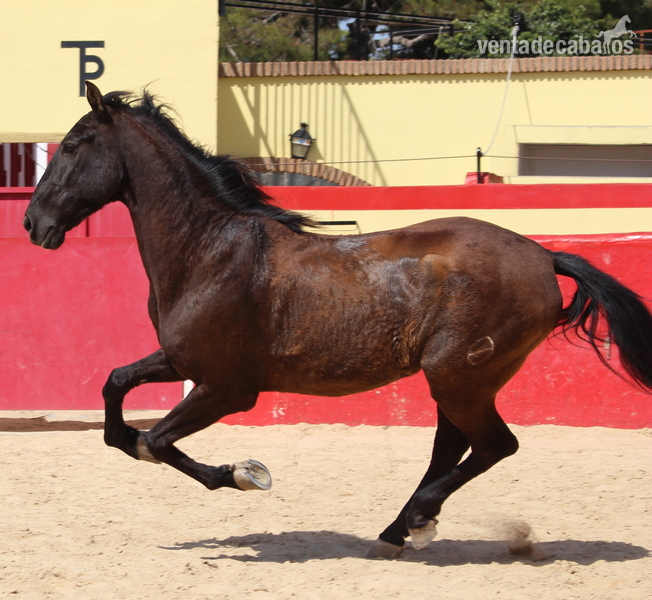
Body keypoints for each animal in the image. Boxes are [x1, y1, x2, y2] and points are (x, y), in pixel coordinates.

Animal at [24, 82, 652, 559]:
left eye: (73, 145)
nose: (33, 223)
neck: (210, 251)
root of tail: (545, 255)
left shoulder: (227, 388)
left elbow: (155, 440)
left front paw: (246, 473)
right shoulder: (181, 362)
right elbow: (115, 399)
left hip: (460, 376)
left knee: (495, 445)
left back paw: (416, 521)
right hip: (457, 381)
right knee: (454, 448)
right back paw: (400, 530)